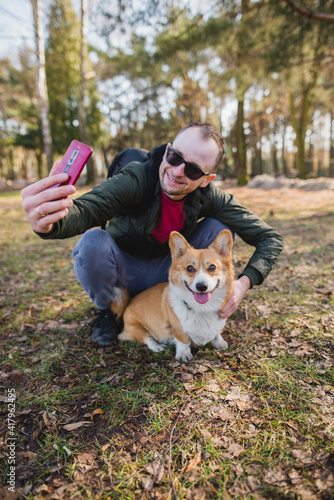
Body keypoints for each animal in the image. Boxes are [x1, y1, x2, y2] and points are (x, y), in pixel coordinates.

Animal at [118, 229, 234, 362]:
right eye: (189, 268)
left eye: (212, 267)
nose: (201, 286)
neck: (202, 308)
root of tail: (129, 303)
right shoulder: (178, 329)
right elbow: (183, 341)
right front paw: (183, 354)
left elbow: (216, 333)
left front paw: (219, 342)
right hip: (137, 328)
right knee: (146, 338)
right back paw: (157, 346)